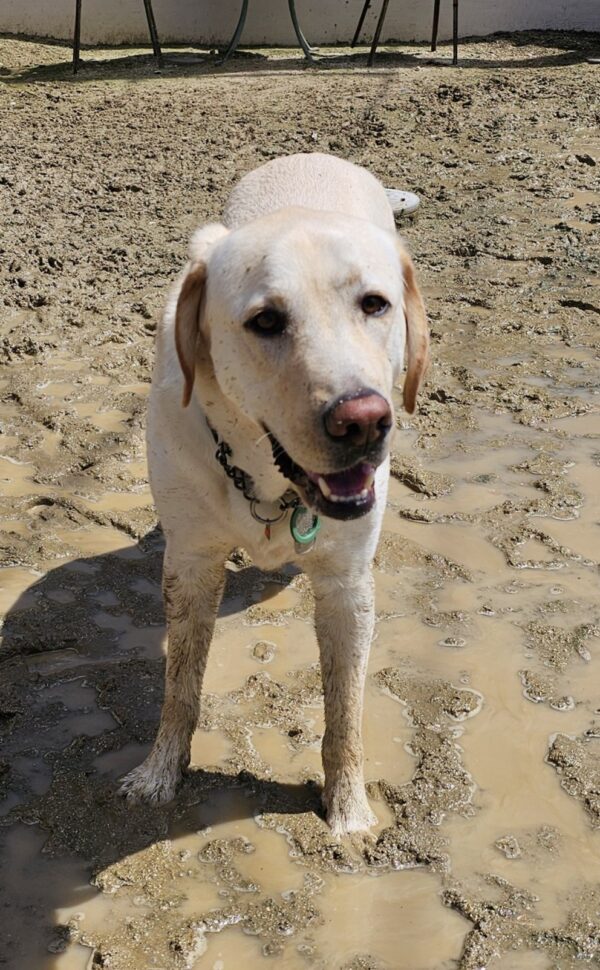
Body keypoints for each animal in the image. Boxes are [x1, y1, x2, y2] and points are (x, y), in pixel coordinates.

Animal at [120, 153, 429, 836]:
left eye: (375, 304)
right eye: (266, 321)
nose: (364, 421)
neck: (266, 483)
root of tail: (315, 154)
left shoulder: (346, 583)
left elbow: (346, 711)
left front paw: (349, 810)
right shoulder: (190, 563)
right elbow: (180, 684)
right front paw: (159, 772)